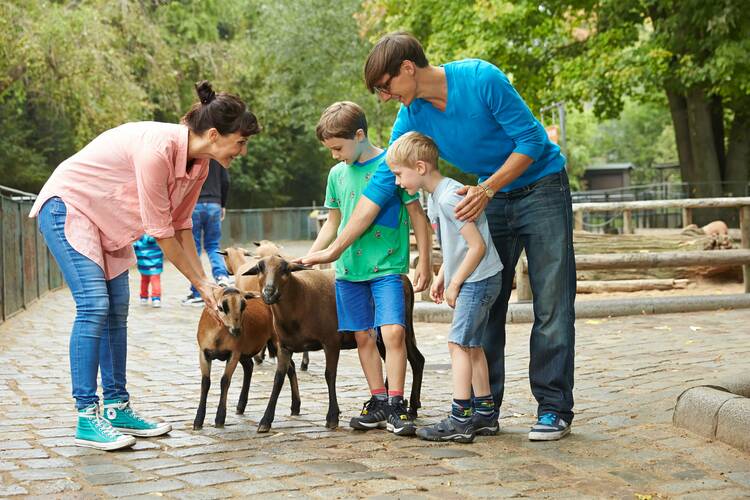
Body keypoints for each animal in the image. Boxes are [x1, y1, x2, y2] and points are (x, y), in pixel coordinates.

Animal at [245, 256, 426, 432]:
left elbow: (329, 375)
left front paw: (332, 417)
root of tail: (405, 278)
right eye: (259, 268)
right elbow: (278, 379)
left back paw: (412, 408)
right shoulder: (284, 347)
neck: (300, 298)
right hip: (379, 337)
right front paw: (265, 420)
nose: (269, 292)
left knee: (416, 360)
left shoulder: (331, 341)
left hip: (400, 327)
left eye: (285, 270)